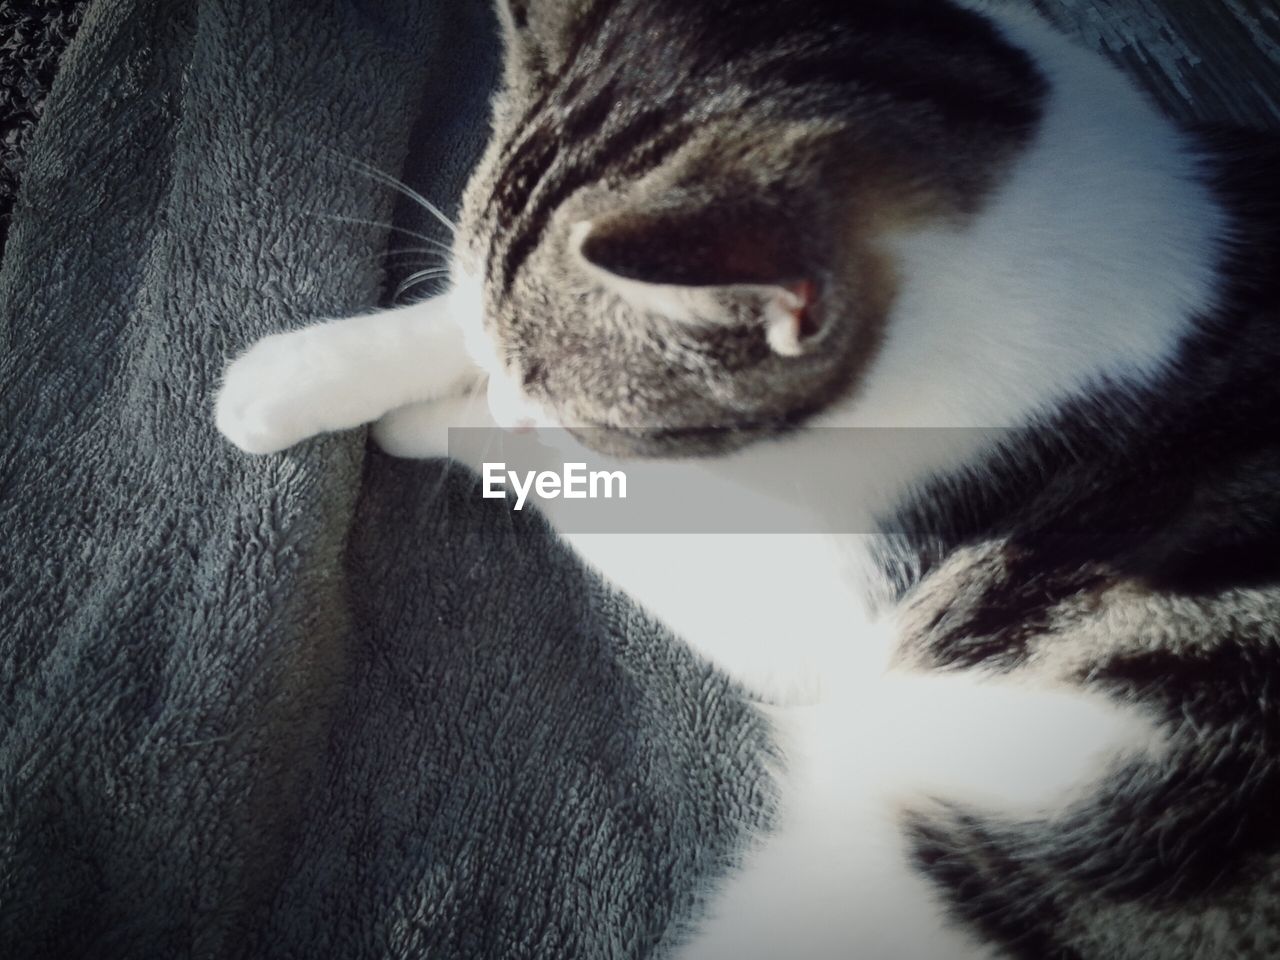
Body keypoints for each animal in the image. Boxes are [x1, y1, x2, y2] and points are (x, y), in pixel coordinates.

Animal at [215, 0, 1280, 957]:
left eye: (576, 403)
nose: (512, 404)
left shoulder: (816, 618)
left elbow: (602, 483)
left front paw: (438, 422)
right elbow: (463, 304)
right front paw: (297, 376)